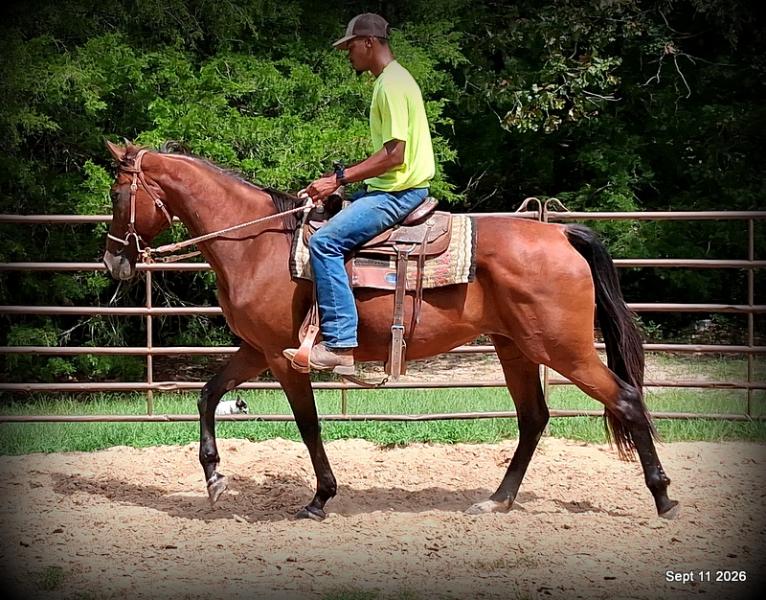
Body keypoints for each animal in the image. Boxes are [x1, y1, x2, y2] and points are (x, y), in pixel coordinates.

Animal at [102, 141, 679, 520]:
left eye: (116, 192)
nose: (113, 260)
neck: (257, 243)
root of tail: (559, 234)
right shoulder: (258, 349)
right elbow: (207, 396)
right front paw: (215, 479)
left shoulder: (286, 358)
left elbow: (308, 426)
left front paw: (320, 498)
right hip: (515, 347)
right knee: (534, 418)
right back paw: (498, 500)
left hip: (565, 350)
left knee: (625, 399)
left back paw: (664, 498)